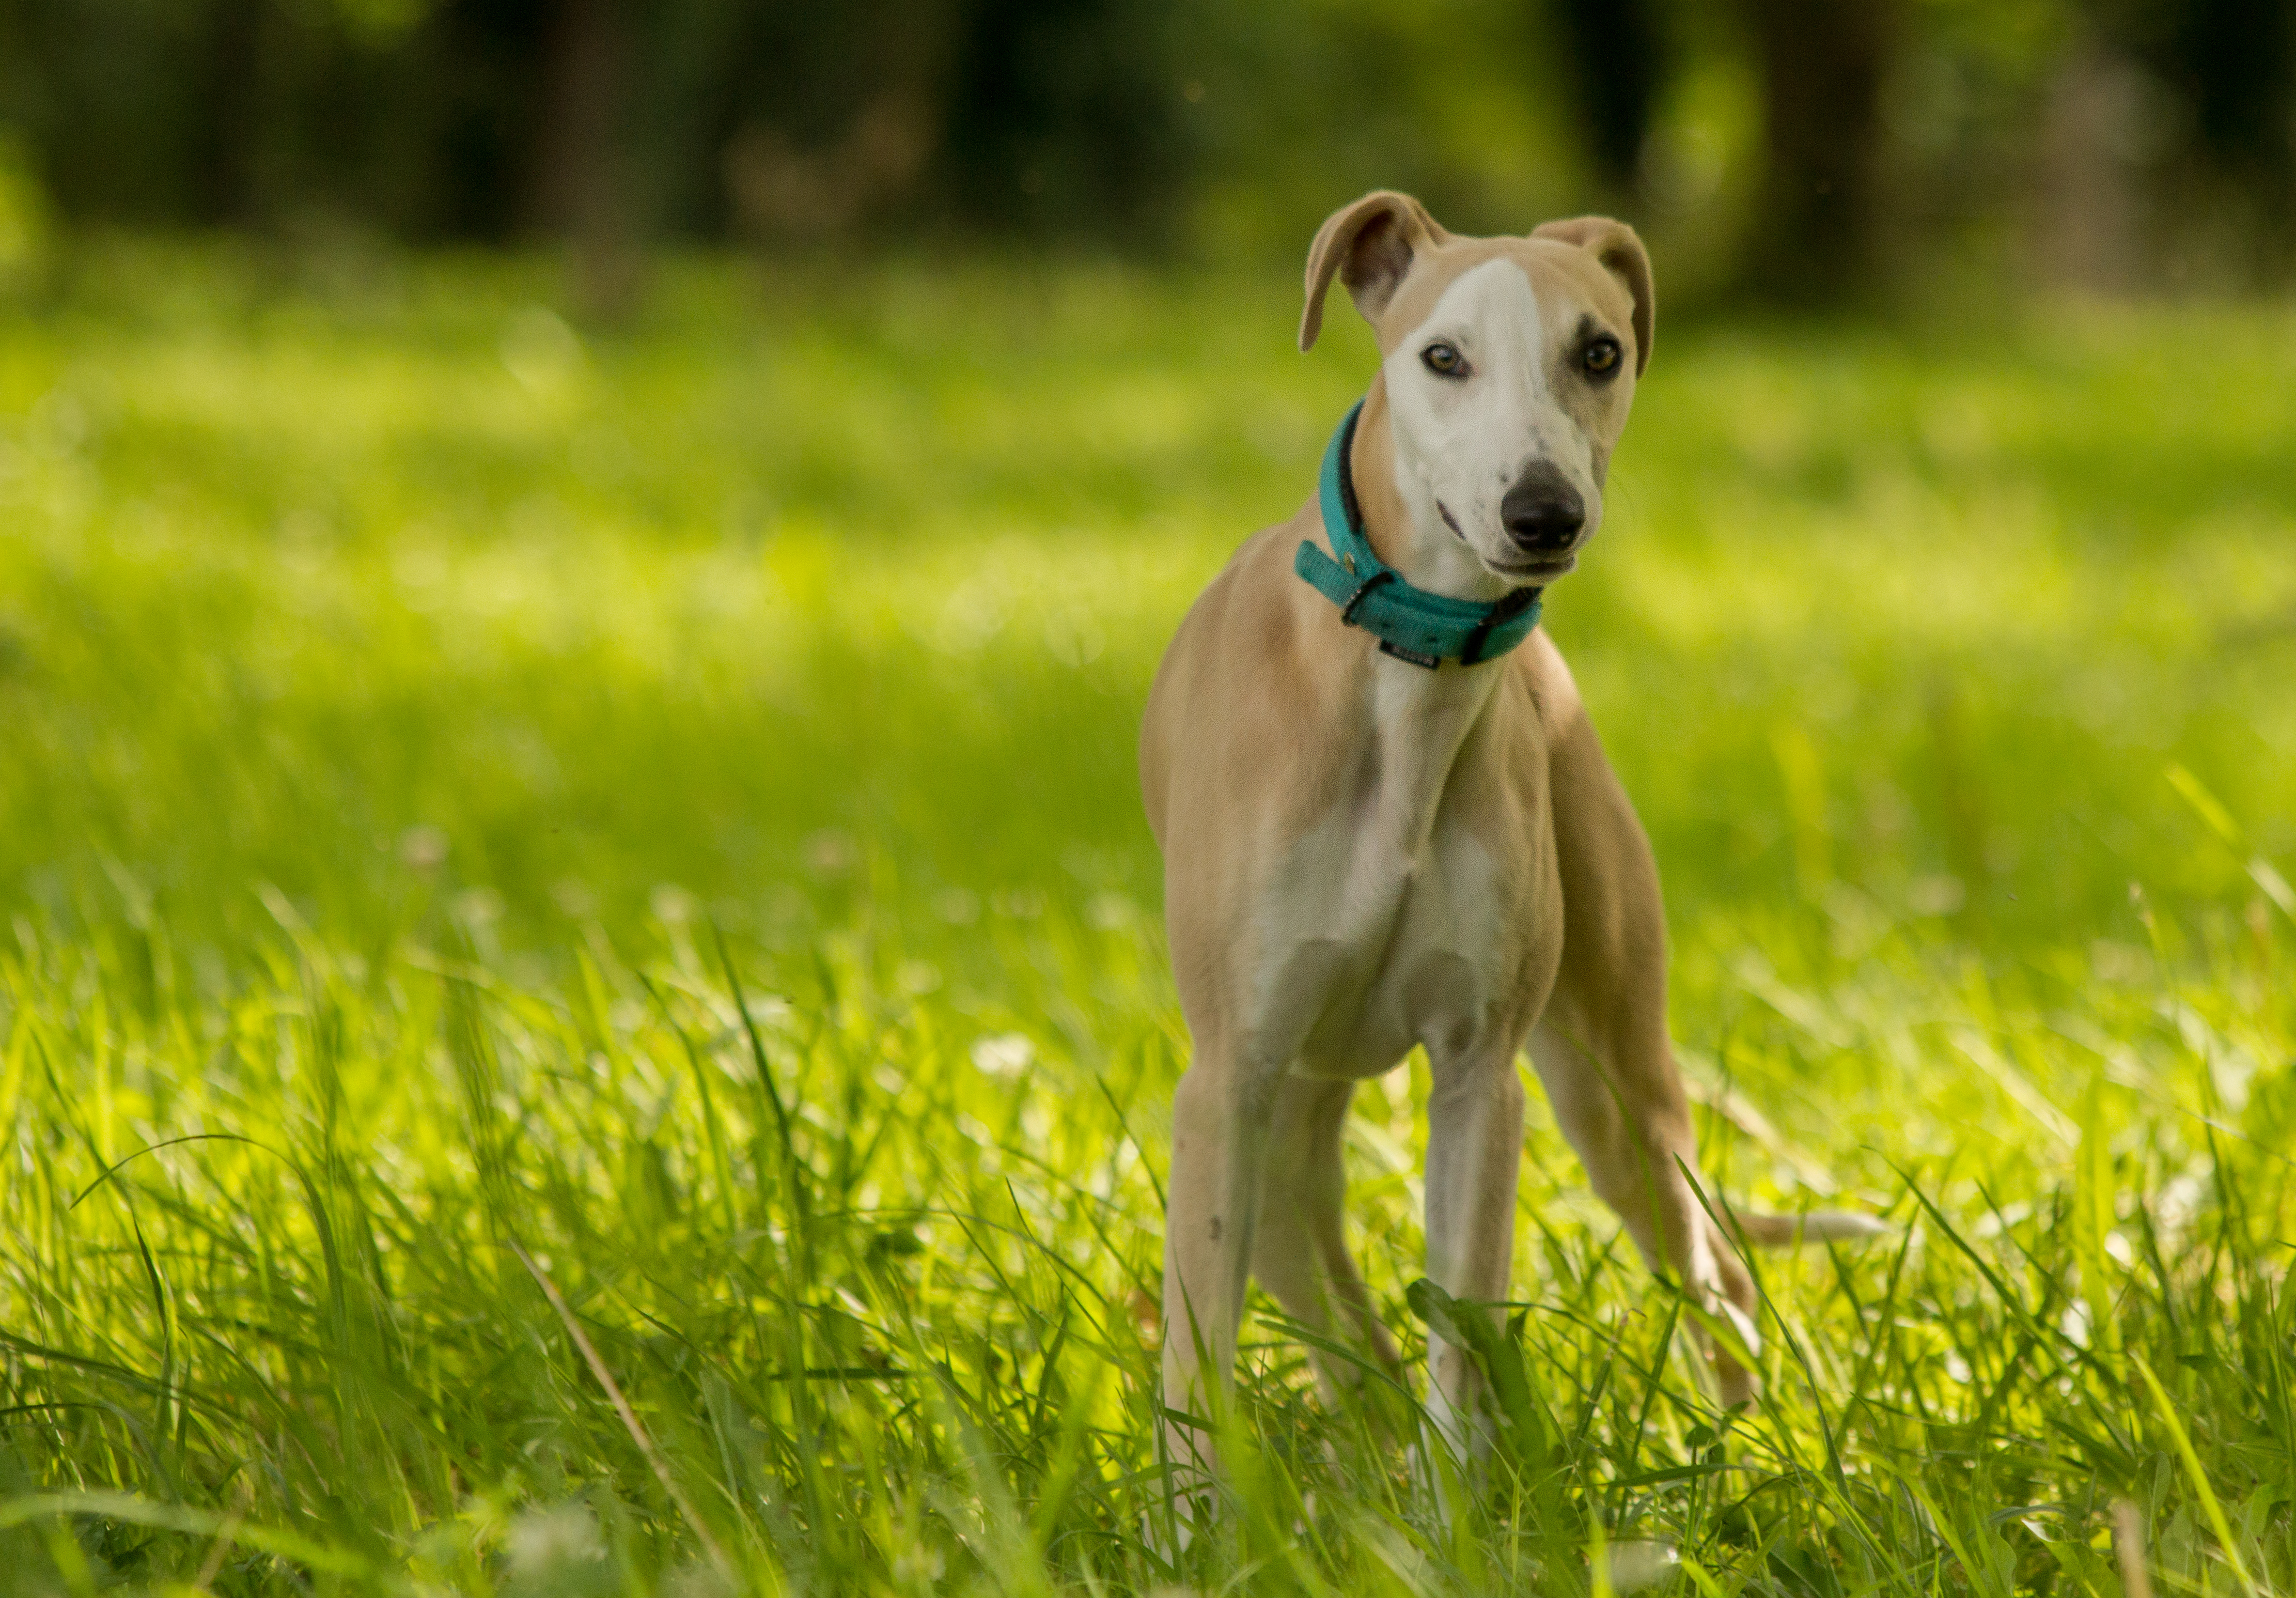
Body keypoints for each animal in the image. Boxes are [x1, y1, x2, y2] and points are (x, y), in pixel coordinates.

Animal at [1138, 194, 1873, 1478]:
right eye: (1443, 357)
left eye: (1601, 351)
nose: (1542, 514)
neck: (1400, 676)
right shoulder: (1225, 1080)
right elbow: (1193, 1371)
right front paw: (1192, 1520)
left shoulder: (1480, 1076)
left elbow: (1462, 1335)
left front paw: (1452, 1505)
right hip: (1275, 1132)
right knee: (1330, 1310)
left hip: (1612, 1088)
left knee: (1708, 1269)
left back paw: (1746, 1453)